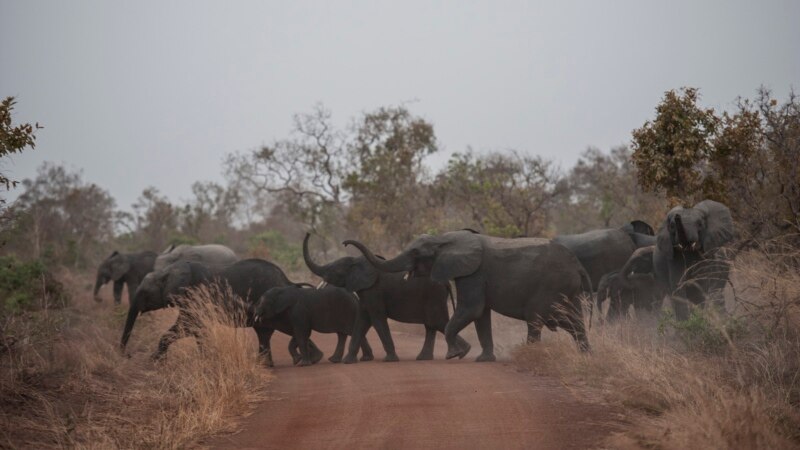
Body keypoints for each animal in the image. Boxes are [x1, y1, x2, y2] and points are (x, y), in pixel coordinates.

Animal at [120, 256, 320, 366]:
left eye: (144, 293)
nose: (127, 355)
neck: (167, 272)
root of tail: (287, 280)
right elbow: (194, 327)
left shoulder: (193, 295)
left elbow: (188, 325)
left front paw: (155, 361)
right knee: (267, 332)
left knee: (273, 330)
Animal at [304, 234, 472, 364]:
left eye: (335, 270)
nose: (345, 243)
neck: (358, 261)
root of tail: (446, 283)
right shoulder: (365, 293)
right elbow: (362, 321)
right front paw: (348, 362)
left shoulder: (373, 291)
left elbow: (377, 319)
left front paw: (389, 360)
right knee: (431, 325)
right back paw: (427, 358)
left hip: (434, 296)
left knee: (437, 322)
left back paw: (462, 352)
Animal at [344, 232, 592, 362]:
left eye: (415, 253)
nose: (345, 243)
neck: (445, 239)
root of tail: (578, 265)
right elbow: (481, 316)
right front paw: (483, 359)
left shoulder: (473, 274)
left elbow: (472, 309)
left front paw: (456, 354)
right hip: (569, 291)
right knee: (575, 322)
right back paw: (587, 356)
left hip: (550, 286)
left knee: (536, 319)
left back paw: (530, 356)